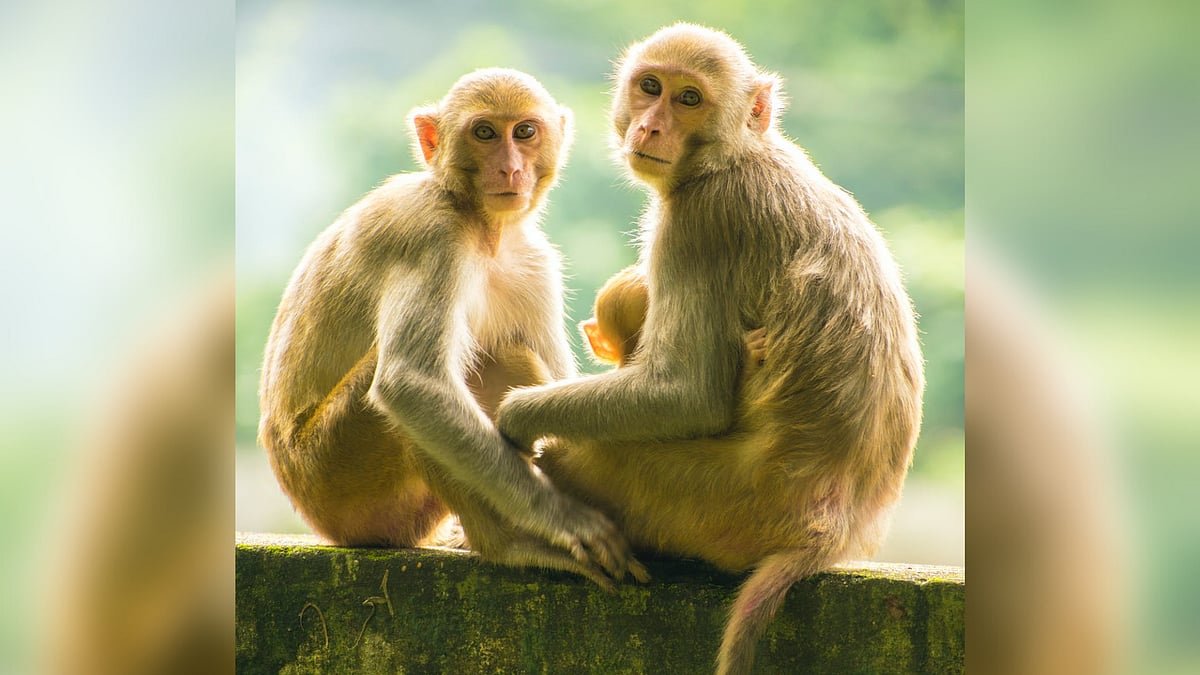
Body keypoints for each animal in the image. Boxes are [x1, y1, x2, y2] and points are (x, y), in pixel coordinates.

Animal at [257, 68, 646, 590]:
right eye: (484, 133)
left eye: (525, 131)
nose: (510, 170)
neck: (482, 226)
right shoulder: (428, 232)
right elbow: (411, 383)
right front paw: (564, 517)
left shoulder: (535, 262)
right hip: (336, 480)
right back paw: (506, 544)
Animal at [496, 25, 924, 674]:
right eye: (651, 87)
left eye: (689, 99)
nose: (651, 127)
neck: (739, 152)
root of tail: (828, 529)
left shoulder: (701, 221)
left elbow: (688, 394)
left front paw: (516, 417)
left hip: (707, 504)